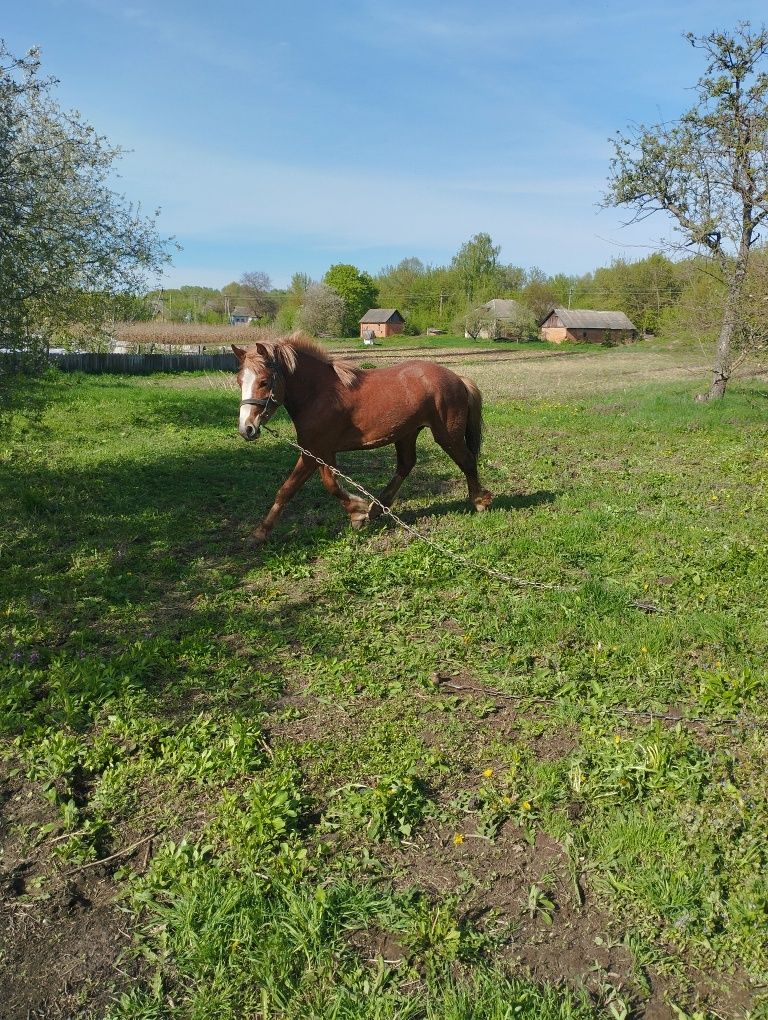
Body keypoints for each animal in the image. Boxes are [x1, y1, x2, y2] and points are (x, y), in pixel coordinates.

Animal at [232, 334, 491, 542]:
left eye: (264, 381)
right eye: (239, 381)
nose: (247, 429)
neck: (318, 394)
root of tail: (458, 378)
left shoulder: (314, 452)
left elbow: (296, 488)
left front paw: (358, 512)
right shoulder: (321, 452)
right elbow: (321, 485)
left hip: (448, 435)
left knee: (467, 461)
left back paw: (480, 500)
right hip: (407, 433)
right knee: (406, 465)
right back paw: (377, 508)